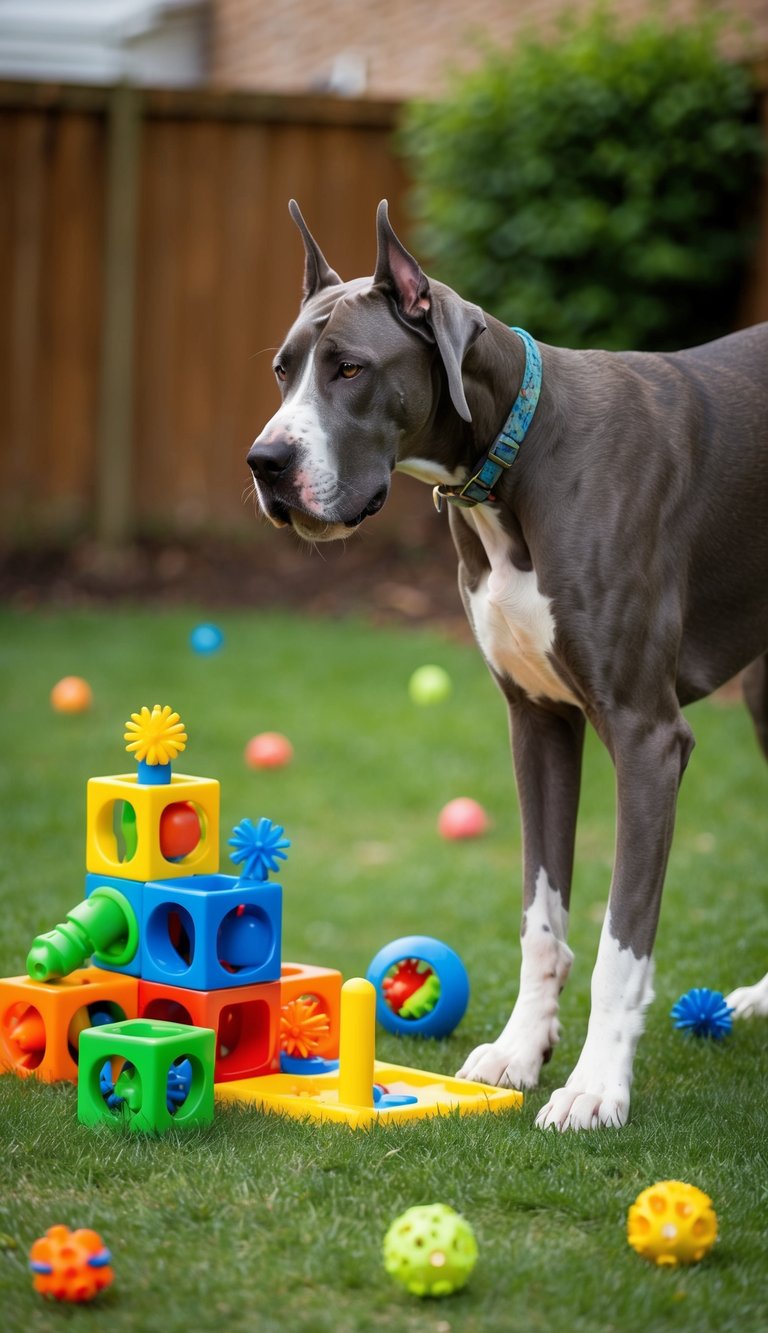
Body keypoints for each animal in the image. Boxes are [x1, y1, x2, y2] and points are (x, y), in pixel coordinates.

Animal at [247, 200, 768, 1130]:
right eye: (281, 371)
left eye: (349, 369)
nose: (265, 463)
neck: (513, 462)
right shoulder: (539, 721)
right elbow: (541, 916)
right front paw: (524, 1048)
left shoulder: (647, 736)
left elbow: (621, 941)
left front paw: (596, 1084)